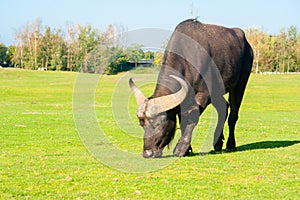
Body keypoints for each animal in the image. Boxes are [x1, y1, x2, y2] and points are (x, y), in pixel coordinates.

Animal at [129, 19, 253, 159]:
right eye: (142, 124)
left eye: (159, 124)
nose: (147, 153)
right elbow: (183, 120)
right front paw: (188, 148)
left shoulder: (204, 95)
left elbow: (192, 117)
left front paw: (181, 148)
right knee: (223, 108)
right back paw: (217, 143)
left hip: (240, 83)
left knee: (233, 114)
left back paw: (230, 145)